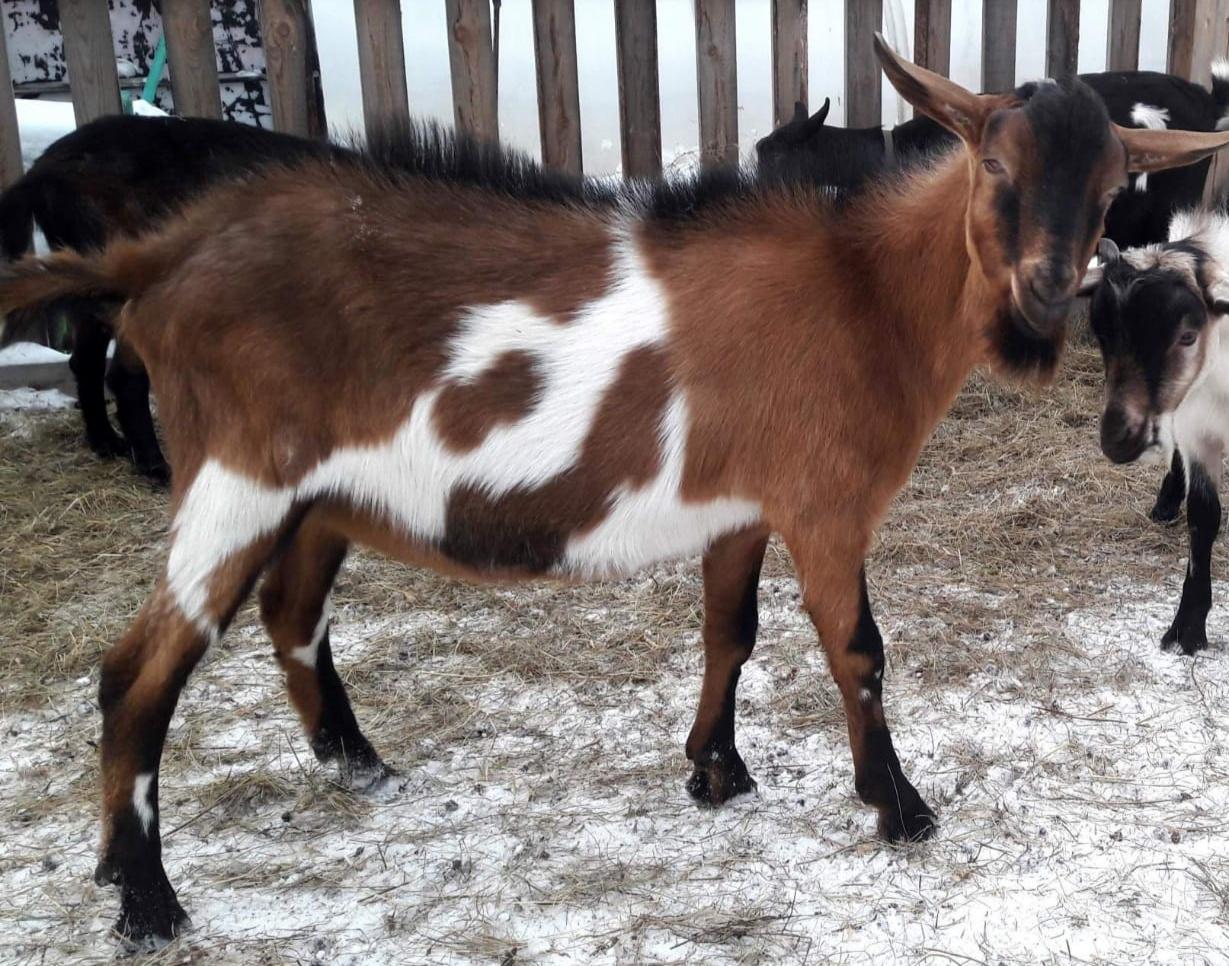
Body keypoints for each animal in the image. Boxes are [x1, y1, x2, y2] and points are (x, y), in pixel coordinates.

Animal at [2, 37, 1229, 938]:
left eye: (1111, 188)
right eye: (992, 166)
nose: (1044, 293)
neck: (862, 292)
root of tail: (161, 256)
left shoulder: (740, 507)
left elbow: (728, 632)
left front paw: (715, 772)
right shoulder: (824, 505)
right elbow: (857, 651)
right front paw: (897, 808)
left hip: (312, 496)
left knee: (289, 615)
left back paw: (348, 771)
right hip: (235, 478)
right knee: (136, 676)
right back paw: (146, 900)